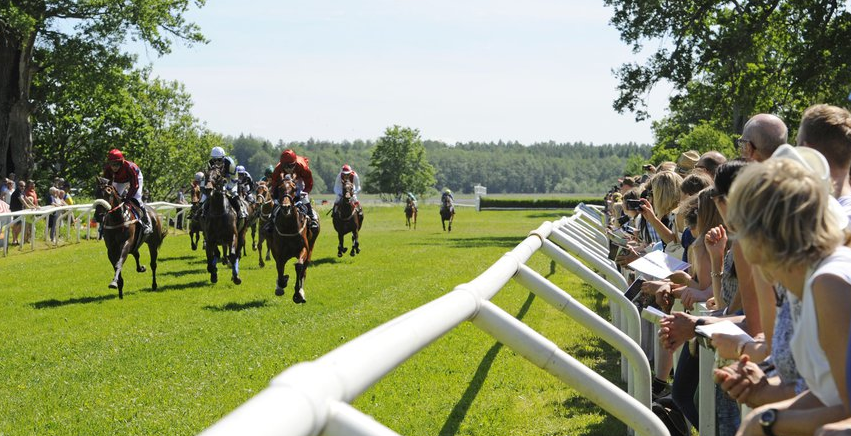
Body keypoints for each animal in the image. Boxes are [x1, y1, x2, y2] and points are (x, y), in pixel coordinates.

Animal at [270, 175, 320, 304]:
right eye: (280, 188)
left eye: (293, 189)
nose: (286, 207)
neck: (288, 227)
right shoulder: (278, 251)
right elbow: (280, 267)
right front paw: (282, 283)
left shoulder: (303, 248)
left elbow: (299, 266)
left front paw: (297, 294)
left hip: (311, 248)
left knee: (304, 269)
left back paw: (301, 291)